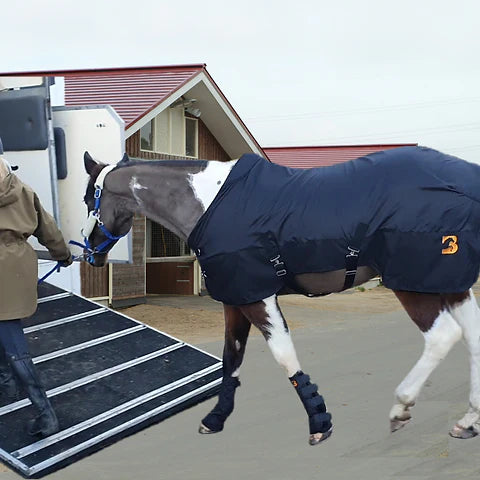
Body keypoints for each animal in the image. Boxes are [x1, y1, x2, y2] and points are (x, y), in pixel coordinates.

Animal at [79, 147, 480, 446]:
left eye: (87, 199)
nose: (89, 253)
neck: (210, 203)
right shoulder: (235, 298)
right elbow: (231, 359)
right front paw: (216, 417)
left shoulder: (257, 297)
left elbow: (284, 355)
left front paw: (319, 421)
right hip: (451, 284)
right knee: (474, 340)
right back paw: (468, 420)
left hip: (414, 284)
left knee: (443, 337)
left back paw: (402, 407)